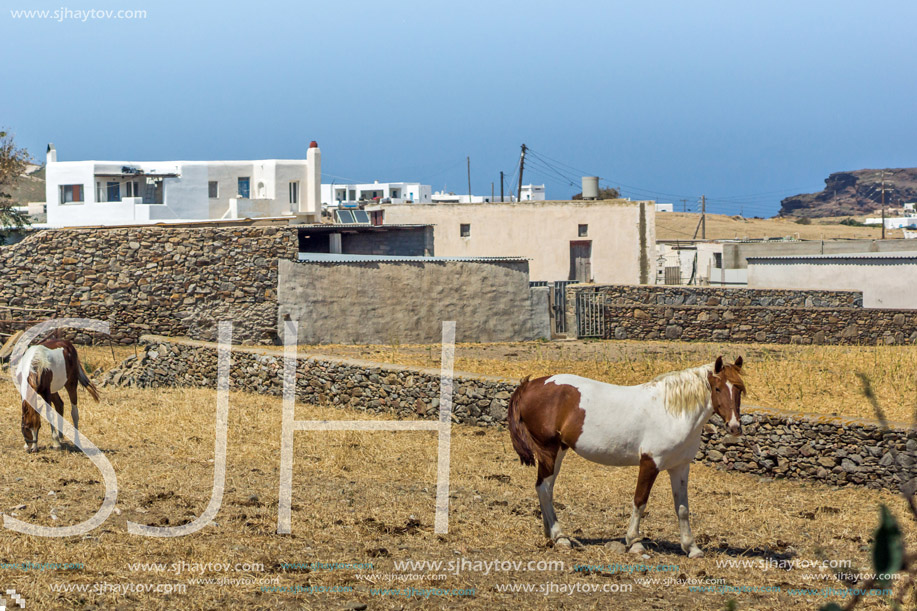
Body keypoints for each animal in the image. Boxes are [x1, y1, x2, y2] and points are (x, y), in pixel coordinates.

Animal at [508, 354, 744, 560]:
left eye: (739, 389)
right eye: (717, 388)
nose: (734, 427)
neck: (672, 412)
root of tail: (530, 385)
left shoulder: (680, 467)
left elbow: (683, 508)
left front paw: (692, 548)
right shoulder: (650, 463)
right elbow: (640, 501)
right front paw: (635, 543)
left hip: (558, 451)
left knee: (544, 488)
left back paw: (551, 533)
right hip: (549, 450)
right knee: (545, 489)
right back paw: (560, 536)